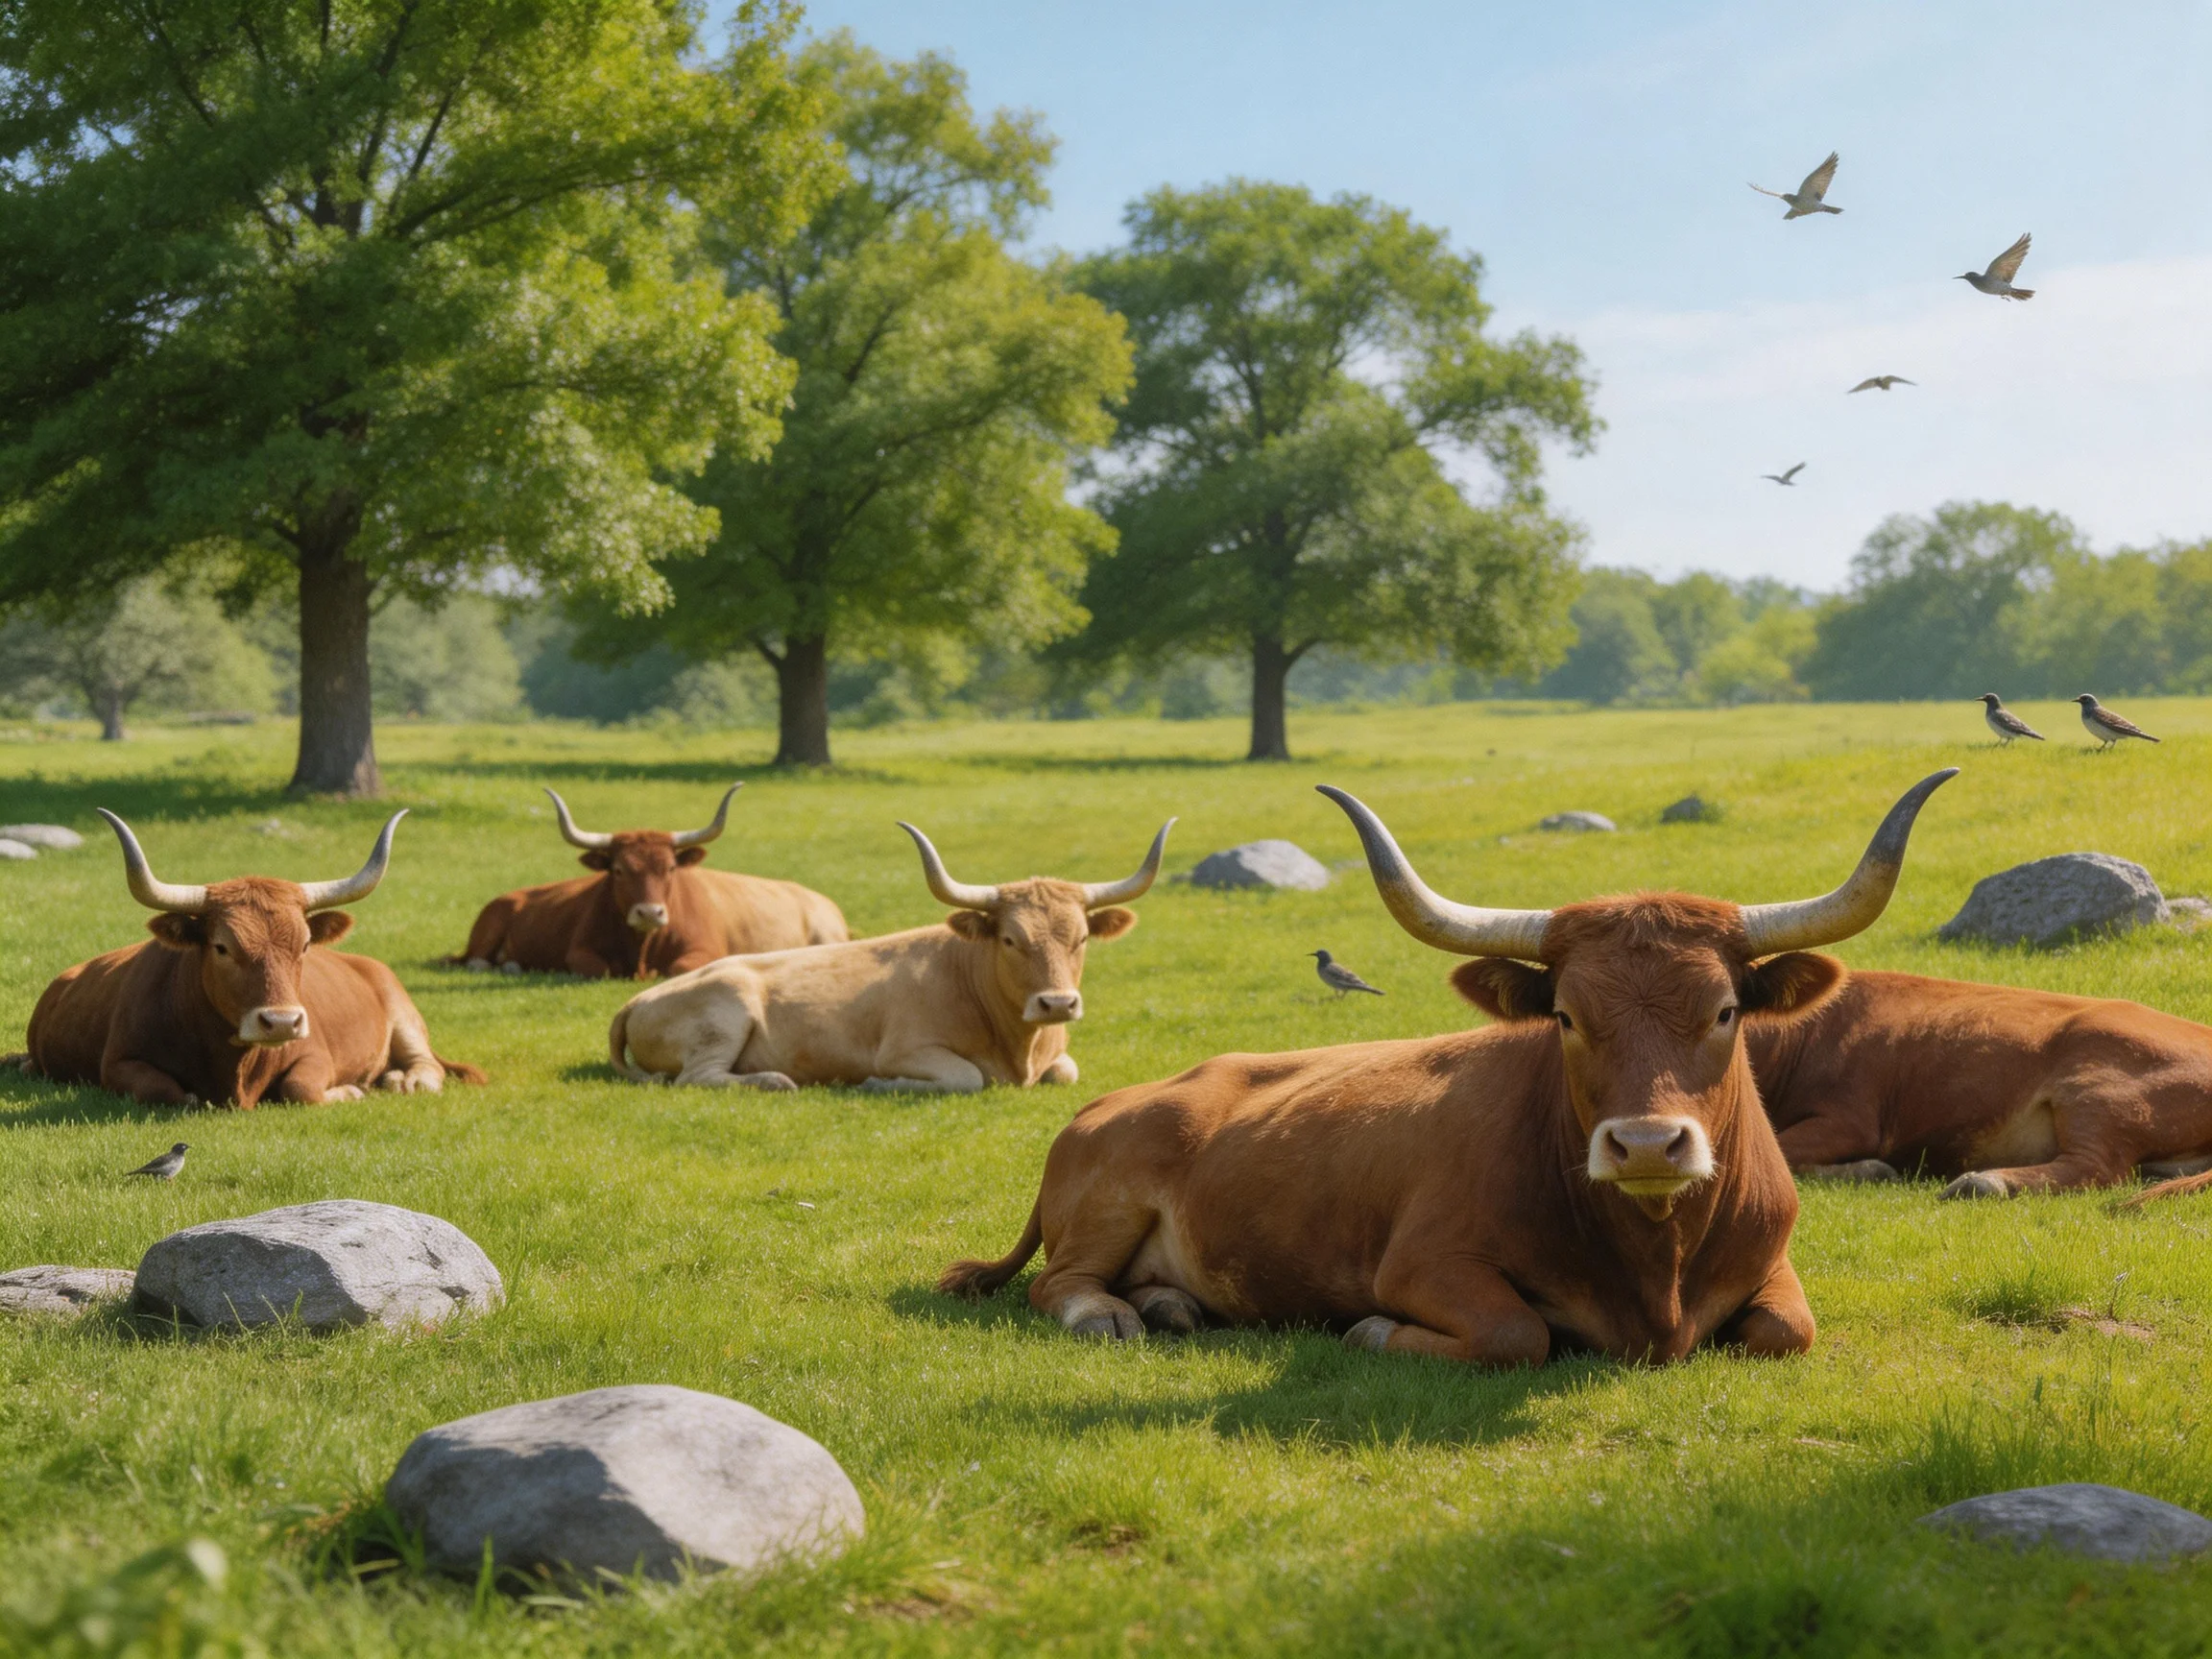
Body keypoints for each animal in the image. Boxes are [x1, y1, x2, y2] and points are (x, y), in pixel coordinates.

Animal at [20, 811, 483, 1108]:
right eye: (222, 947)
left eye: (304, 945)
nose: (280, 1022)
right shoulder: (118, 1062)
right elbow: (165, 1092)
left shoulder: (317, 1055)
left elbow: (301, 1089)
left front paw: (350, 1091)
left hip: (403, 1013)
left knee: (427, 1065)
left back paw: (404, 1080)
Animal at [455, 785, 847, 979]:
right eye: (617, 870)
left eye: (671, 868)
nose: (649, 913)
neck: (642, 947)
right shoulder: (578, 952)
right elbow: (602, 968)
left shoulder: (706, 951)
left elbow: (676, 968)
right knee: (472, 961)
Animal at [606, 820, 1174, 1092]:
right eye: (1011, 939)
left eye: (1080, 938)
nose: (1057, 1003)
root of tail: (637, 1001)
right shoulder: (906, 1050)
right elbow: (965, 1078)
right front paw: (878, 1084)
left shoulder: (1058, 1060)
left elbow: (1066, 1071)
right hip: (726, 1008)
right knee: (697, 1077)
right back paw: (775, 1081)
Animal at [938, 773, 1956, 1367]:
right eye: (1565, 1015)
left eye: (1726, 1011)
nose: (1645, 1145)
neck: (1654, 1263)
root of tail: (1122, 1097)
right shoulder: (1426, 1262)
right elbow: (1516, 1333)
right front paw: (1371, 1330)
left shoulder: (1774, 1267)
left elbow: (1787, 1329)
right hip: (1102, 1210)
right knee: (1056, 1284)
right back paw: (1113, 1315)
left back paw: (1170, 1306)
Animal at [1750, 971, 2212, 1201]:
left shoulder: (1852, 1120)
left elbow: (1780, 1151)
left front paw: (1871, 1170)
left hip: (2096, 1091)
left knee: (2098, 1168)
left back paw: (1981, 1182)